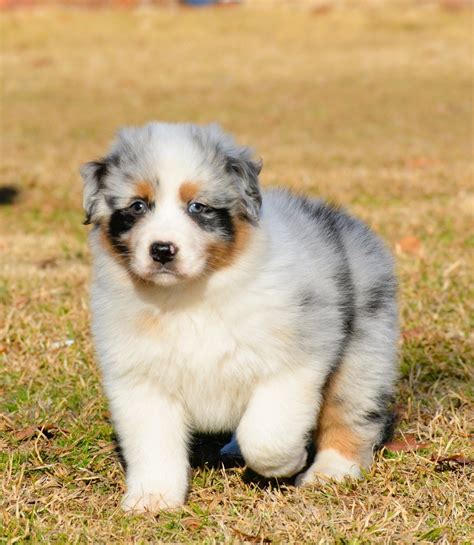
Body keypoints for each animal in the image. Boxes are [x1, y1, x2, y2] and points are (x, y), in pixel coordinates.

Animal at [82, 121, 400, 512]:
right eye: (137, 206)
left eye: (198, 207)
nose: (162, 250)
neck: (188, 297)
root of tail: (344, 219)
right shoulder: (140, 380)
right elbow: (153, 446)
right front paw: (151, 499)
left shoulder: (292, 362)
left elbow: (265, 435)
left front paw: (287, 463)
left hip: (364, 350)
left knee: (351, 413)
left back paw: (331, 471)